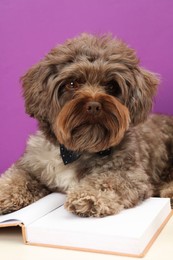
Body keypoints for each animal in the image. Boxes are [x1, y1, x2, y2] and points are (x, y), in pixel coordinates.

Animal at [0, 33, 173, 217]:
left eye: (111, 85)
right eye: (72, 83)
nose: (94, 105)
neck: (78, 149)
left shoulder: (130, 174)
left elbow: (107, 181)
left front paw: (88, 197)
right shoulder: (31, 164)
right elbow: (17, 176)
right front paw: (5, 192)